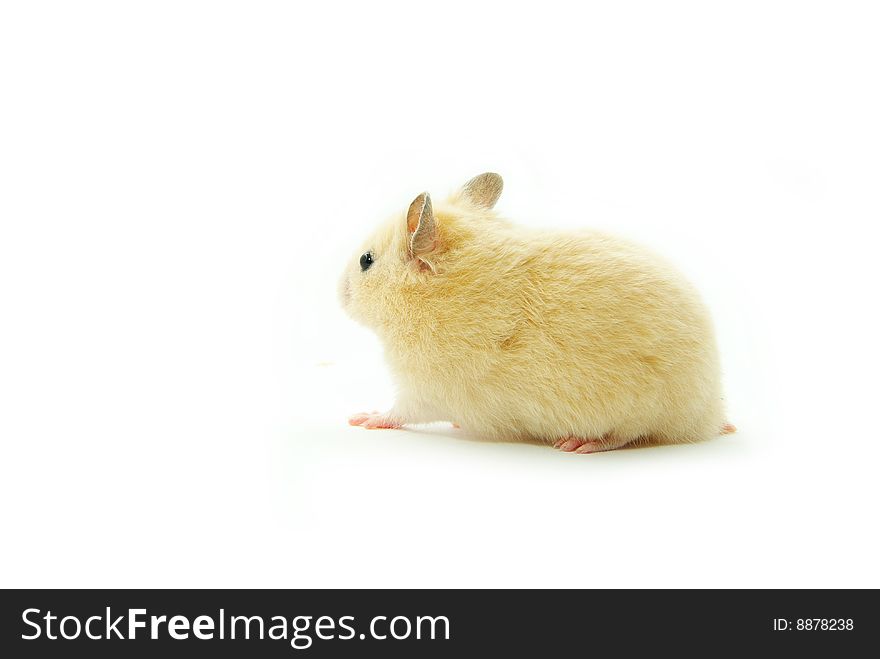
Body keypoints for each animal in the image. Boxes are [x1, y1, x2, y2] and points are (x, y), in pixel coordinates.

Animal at [340, 173, 732, 454]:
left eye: (366, 261)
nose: (338, 295)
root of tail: (709, 415)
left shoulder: (424, 389)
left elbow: (400, 412)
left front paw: (363, 418)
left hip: (635, 408)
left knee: (625, 435)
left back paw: (577, 443)